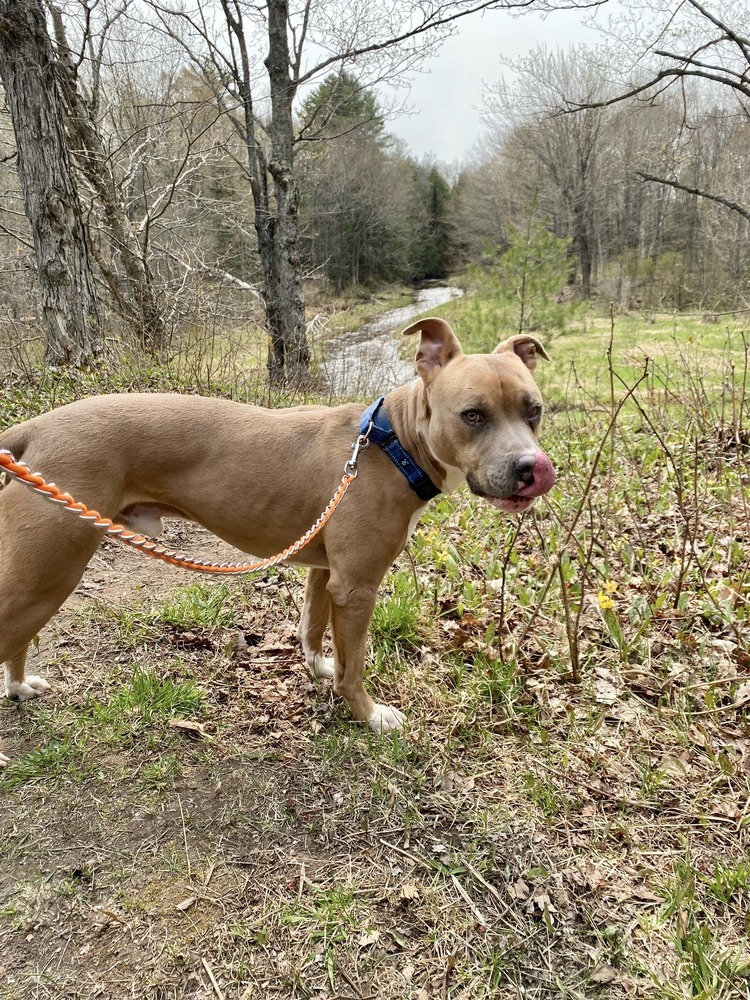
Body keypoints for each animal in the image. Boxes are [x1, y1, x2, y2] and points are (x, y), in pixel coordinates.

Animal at [0, 316, 552, 752]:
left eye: (535, 410)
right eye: (472, 415)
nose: (533, 469)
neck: (394, 442)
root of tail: (35, 428)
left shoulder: (327, 573)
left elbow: (312, 628)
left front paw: (320, 668)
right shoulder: (358, 588)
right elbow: (355, 666)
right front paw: (368, 714)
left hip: (43, 578)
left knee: (16, 641)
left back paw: (21, 688)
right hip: (46, 572)